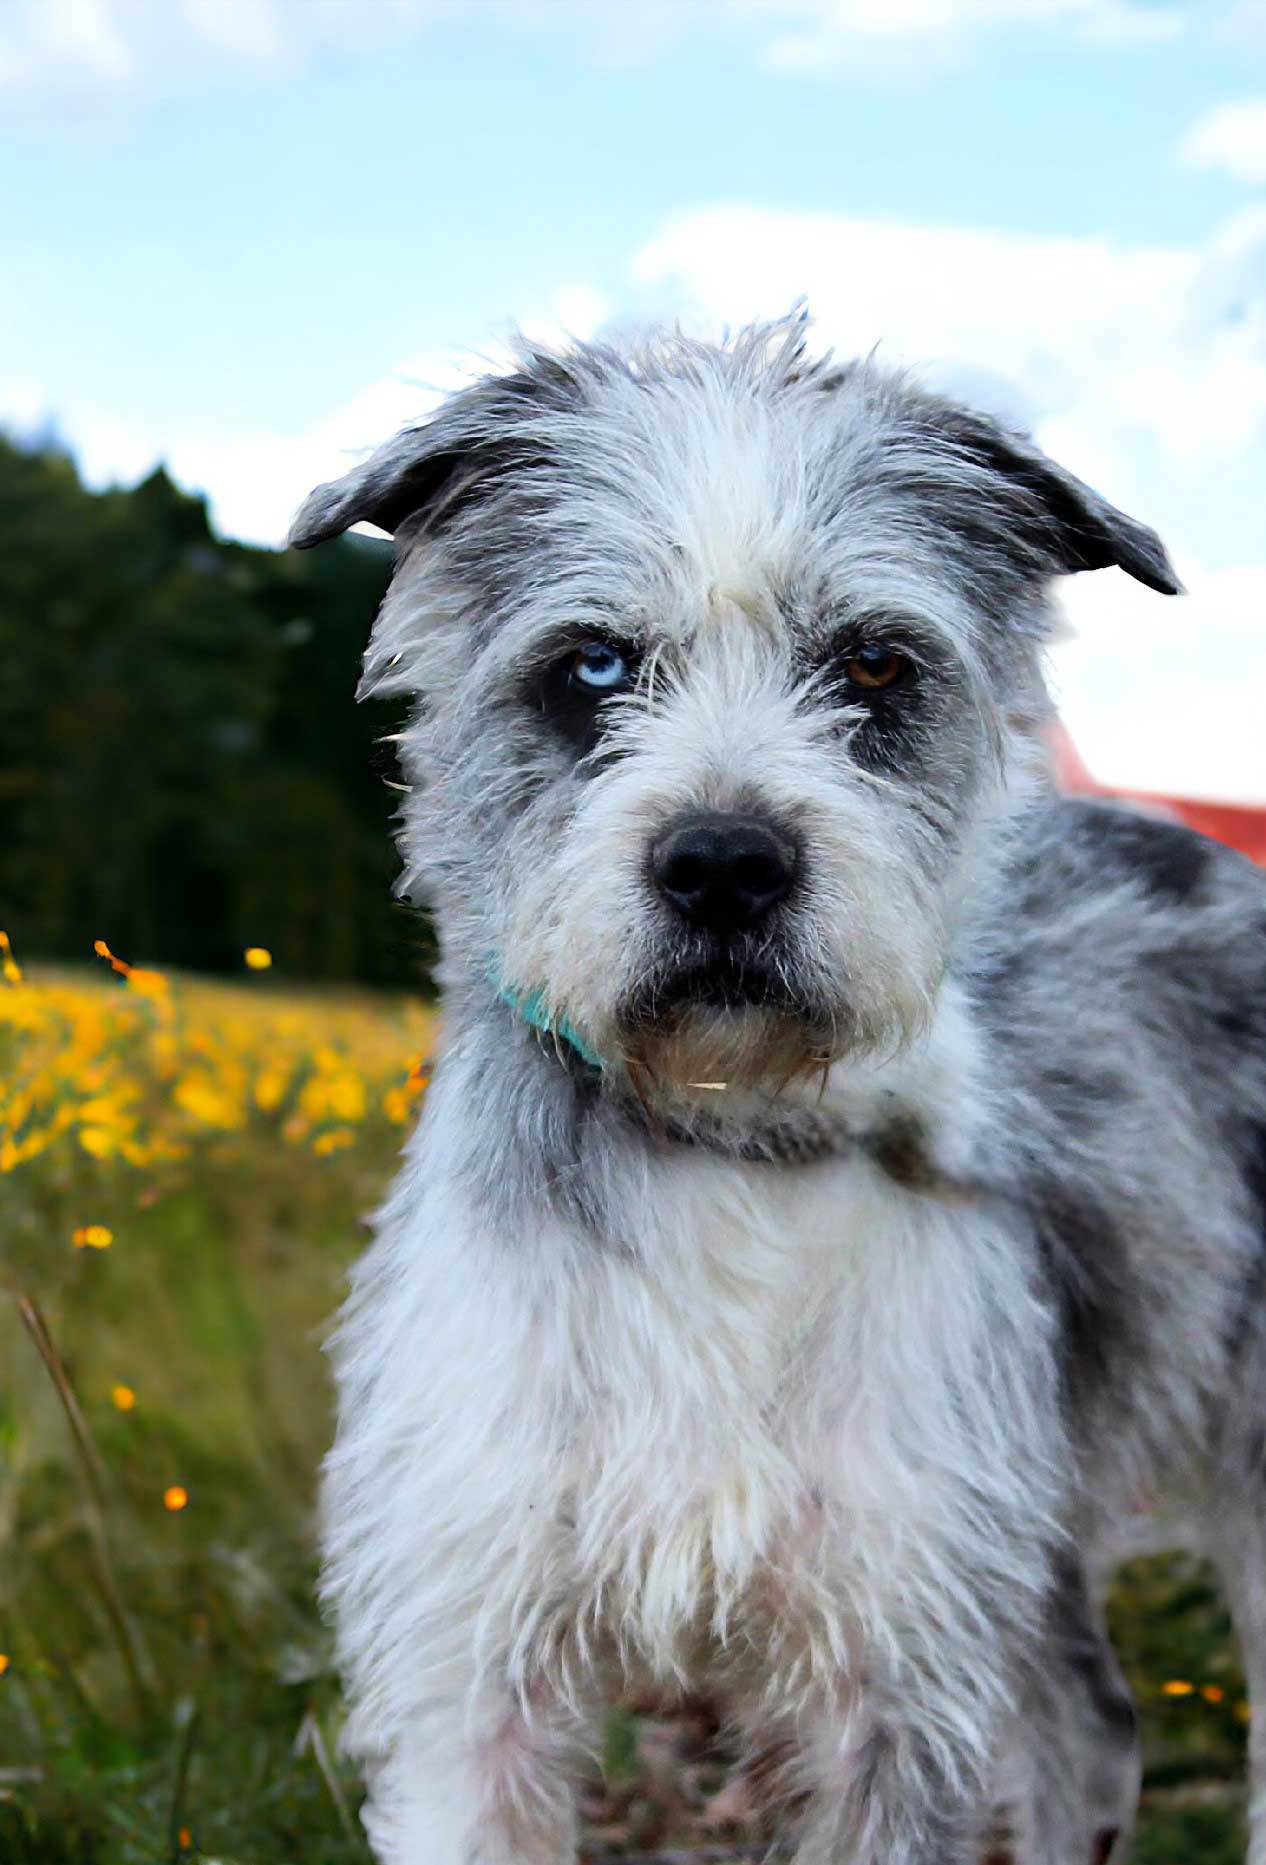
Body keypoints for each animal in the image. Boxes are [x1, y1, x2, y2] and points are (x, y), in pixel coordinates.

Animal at [288, 313, 1266, 1857]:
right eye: (593, 665)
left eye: (871, 665)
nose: (724, 863)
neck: (719, 1142)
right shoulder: (470, 1667)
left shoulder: (896, 1671)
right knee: (1090, 1725)